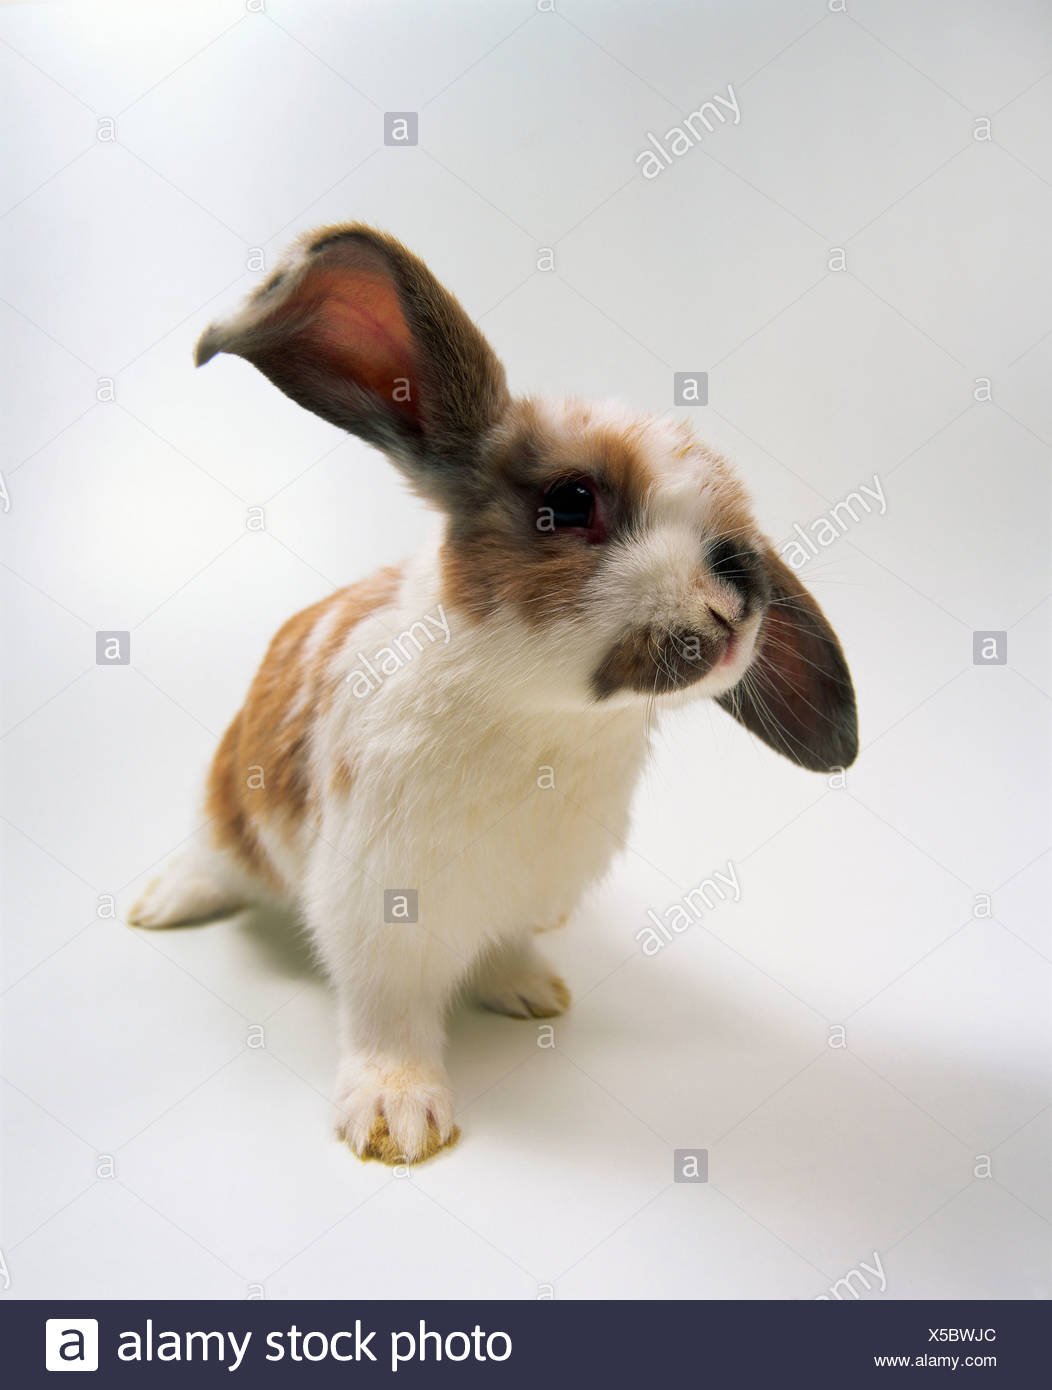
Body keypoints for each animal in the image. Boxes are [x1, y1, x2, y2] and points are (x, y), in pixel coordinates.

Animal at [128, 224, 858, 1165]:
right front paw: (397, 1118)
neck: (546, 722)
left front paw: (532, 992)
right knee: (212, 859)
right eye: (571, 501)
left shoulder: (525, 894)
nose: (740, 591)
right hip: (230, 815)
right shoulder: (375, 917)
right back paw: (160, 906)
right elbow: (388, 1018)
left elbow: (504, 949)